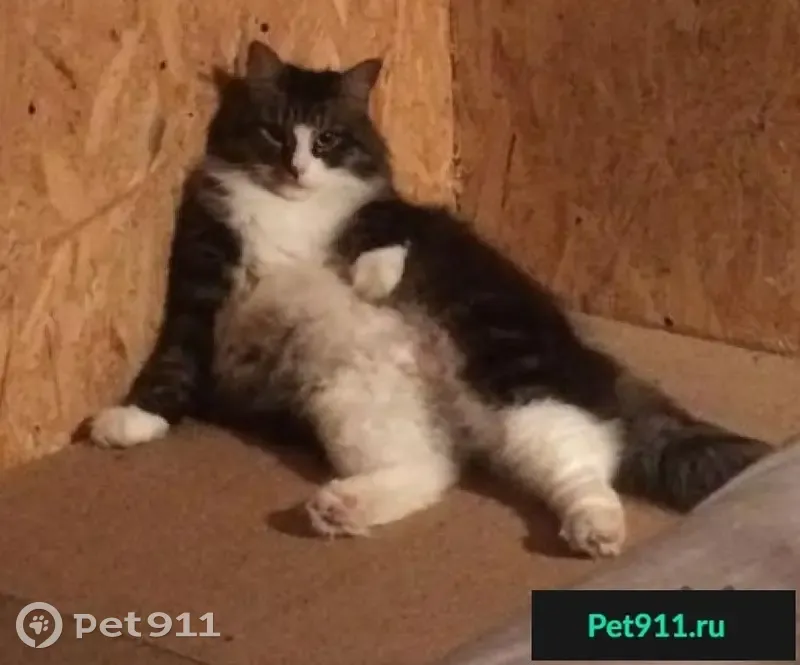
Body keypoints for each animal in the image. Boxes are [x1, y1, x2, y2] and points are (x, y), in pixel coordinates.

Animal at [89, 39, 774, 558]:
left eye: (328, 140)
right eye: (275, 134)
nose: (298, 169)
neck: (291, 211)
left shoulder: (393, 217)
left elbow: (383, 235)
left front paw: (371, 279)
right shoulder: (201, 273)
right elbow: (174, 363)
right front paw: (132, 422)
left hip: (515, 372)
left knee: (584, 462)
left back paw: (594, 531)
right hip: (355, 400)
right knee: (438, 469)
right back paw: (342, 507)